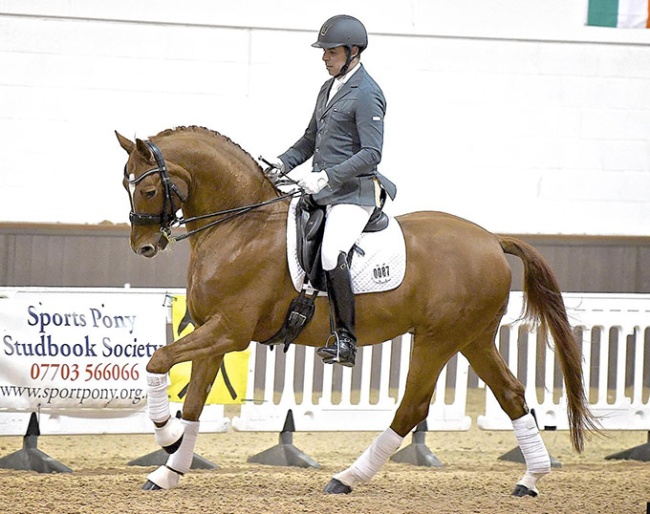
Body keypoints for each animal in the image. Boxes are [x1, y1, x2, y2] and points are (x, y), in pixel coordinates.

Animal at [115, 125, 597, 497]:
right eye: (126, 185)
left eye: (149, 188)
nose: (143, 247)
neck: (239, 227)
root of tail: (493, 239)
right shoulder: (211, 333)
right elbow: (194, 403)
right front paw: (169, 468)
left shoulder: (230, 331)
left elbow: (158, 361)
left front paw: (166, 434)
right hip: (473, 339)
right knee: (511, 395)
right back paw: (530, 479)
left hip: (438, 340)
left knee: (412, 408)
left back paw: (346, 478)